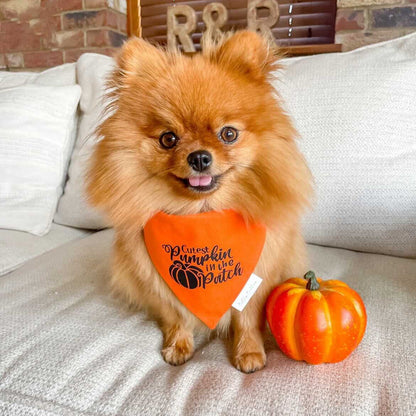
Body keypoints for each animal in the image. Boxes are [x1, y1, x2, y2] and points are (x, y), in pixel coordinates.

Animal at [89, 30, 314, 372]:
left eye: (228, 134)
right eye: (168, 139)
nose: (198, 157)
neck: (201, 214)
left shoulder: (258, 280)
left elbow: (247, 319)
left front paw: (249, 353)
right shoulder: (157, 284)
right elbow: (176, 317)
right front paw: (178, 345)